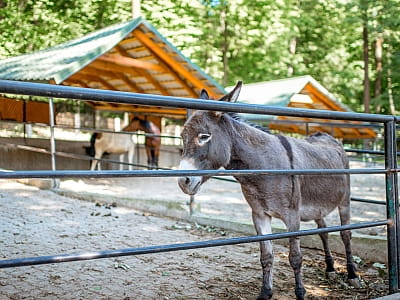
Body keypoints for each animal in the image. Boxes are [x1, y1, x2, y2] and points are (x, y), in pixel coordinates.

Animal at [177, 81, 358, 300]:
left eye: (204, 137)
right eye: (182, 137)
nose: (183, 182)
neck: (263, 168)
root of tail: (326, 136)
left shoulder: (292, 216)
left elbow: (295, 257)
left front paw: (300, 293)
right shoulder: (259, 214)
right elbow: (266, 256)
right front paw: (265, 292)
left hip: (344, 201)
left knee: (346, 234)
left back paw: (352, 274)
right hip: (317, 207)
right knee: (323, 232)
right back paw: (330, 268)